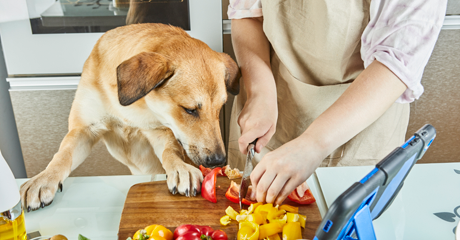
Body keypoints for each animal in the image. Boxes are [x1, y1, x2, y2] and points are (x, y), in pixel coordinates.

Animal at [19, 23, 239, 210]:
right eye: (190, 110)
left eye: (220, 107)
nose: (219, 160)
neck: (132, 107)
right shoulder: (84, 130)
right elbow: (62, 155)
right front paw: (44, 179)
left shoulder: (159, 131)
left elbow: (170, 152)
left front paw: (179, 168)